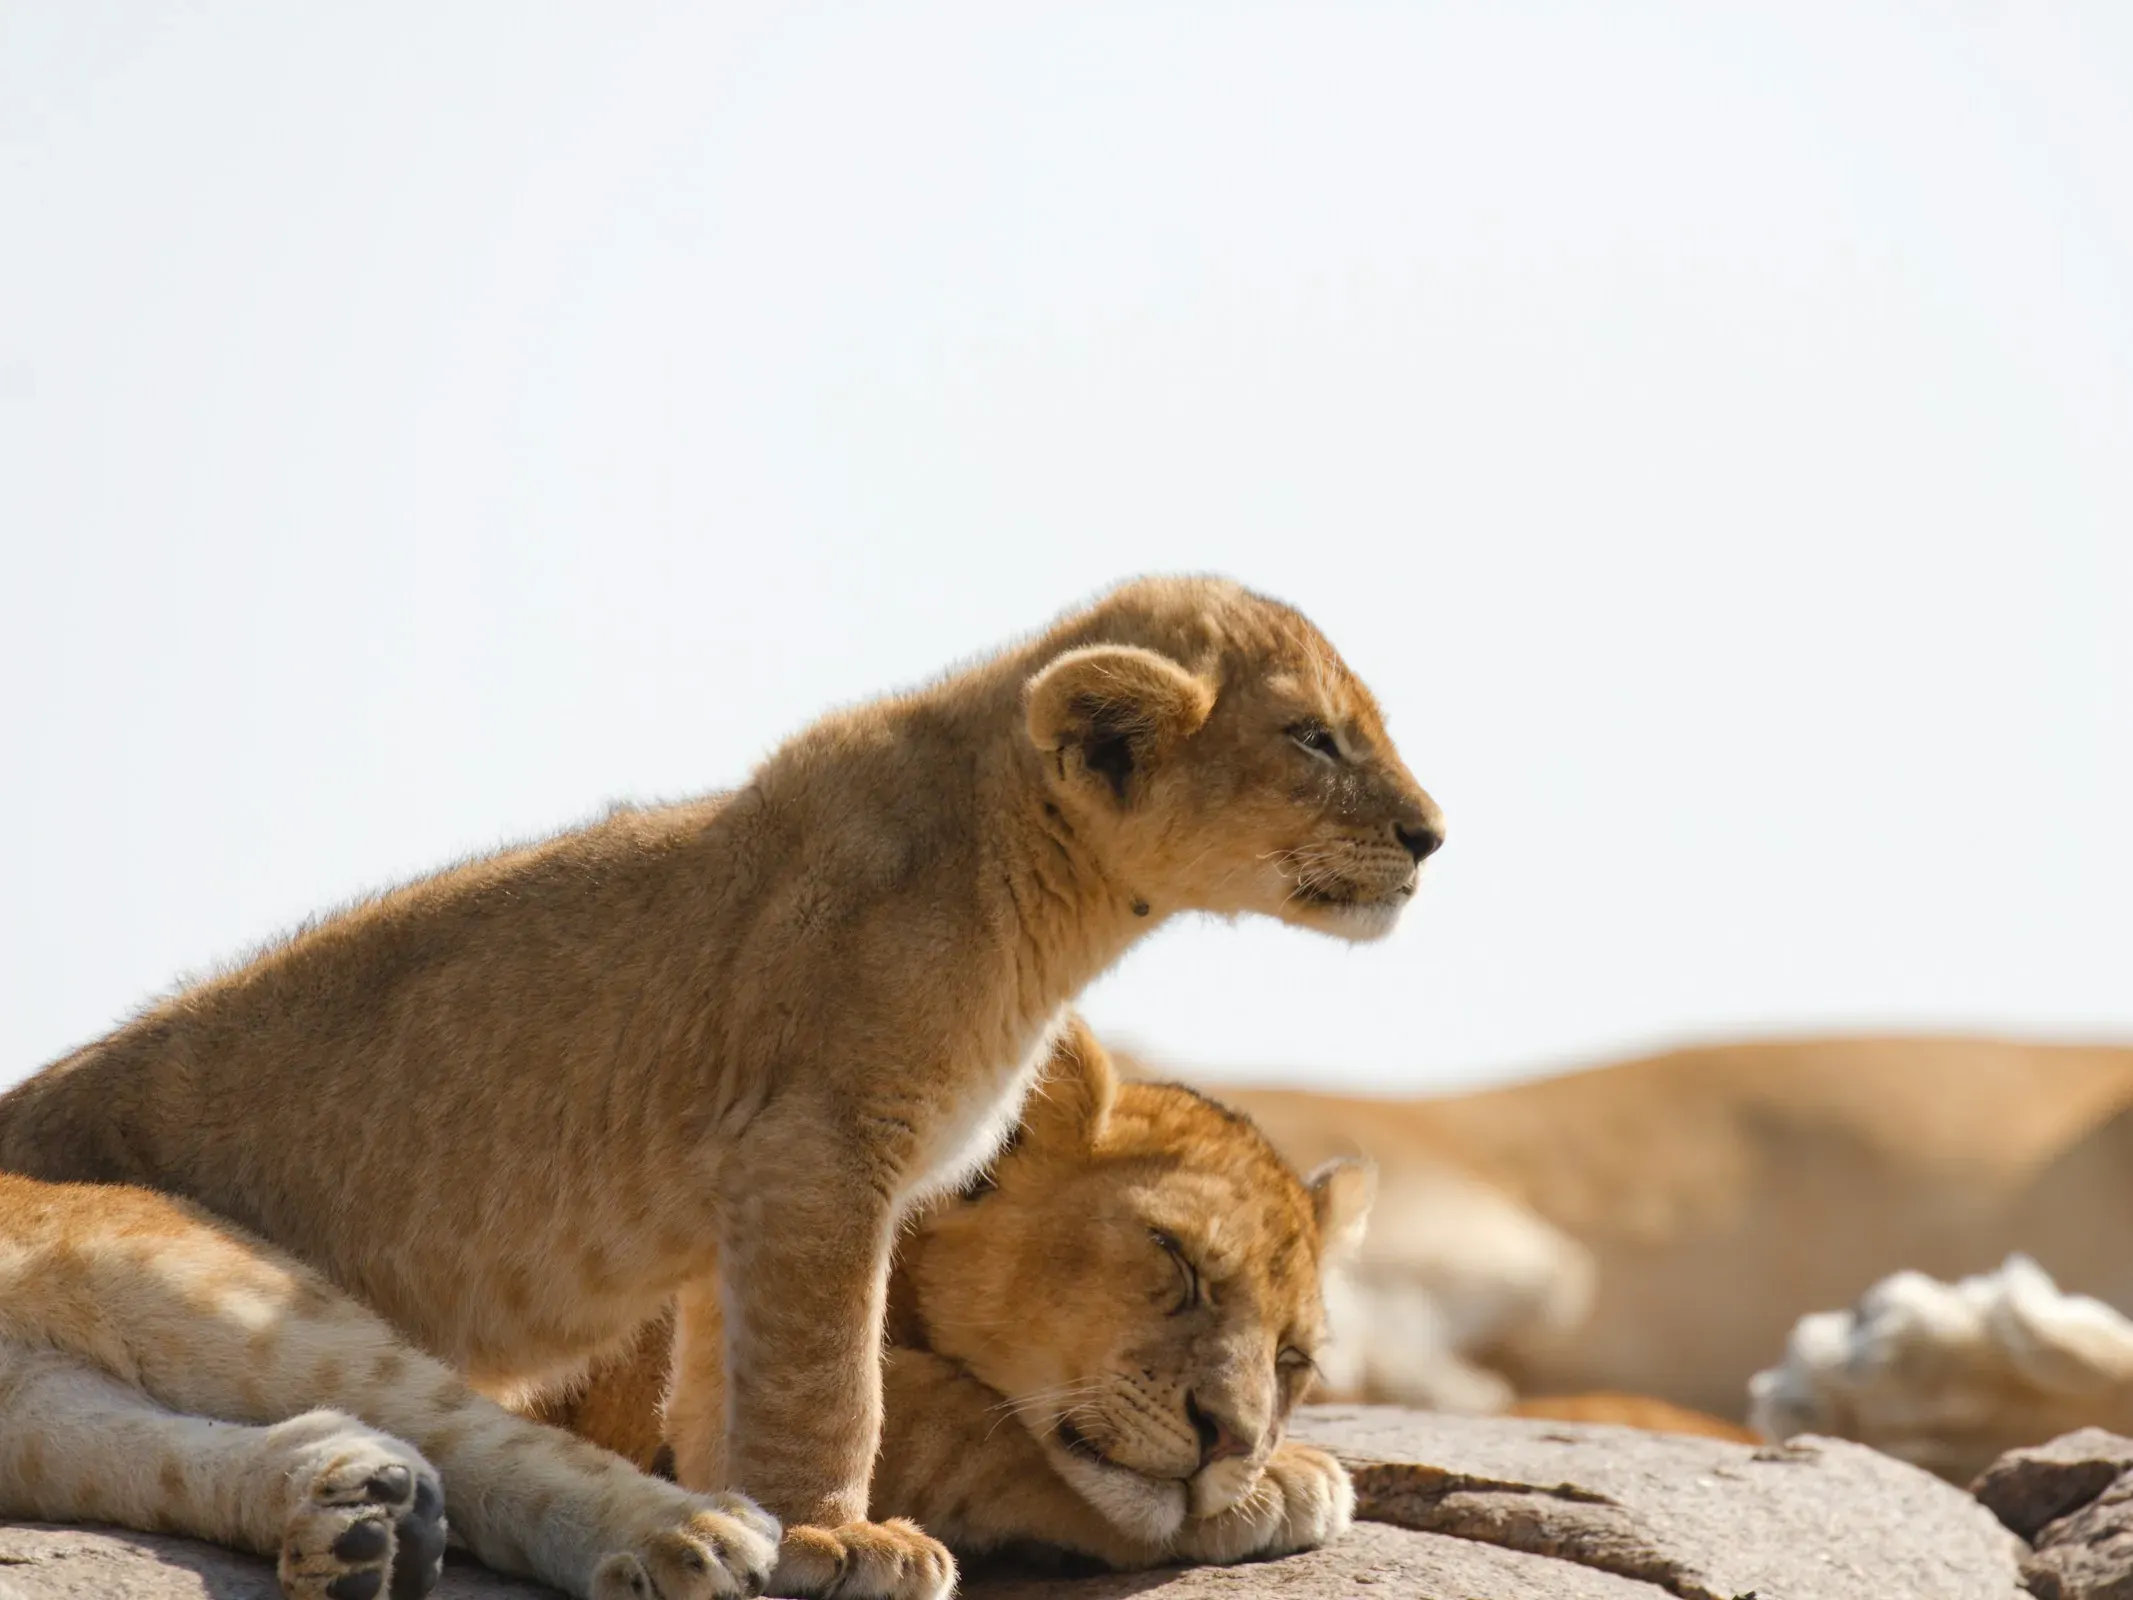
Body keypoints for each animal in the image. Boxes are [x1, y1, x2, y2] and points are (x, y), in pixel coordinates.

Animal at [534, 1019, 1373, 1573]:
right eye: (1175, 1255)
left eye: (1292, 1359)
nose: (1231, 1442)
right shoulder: (661, 1400)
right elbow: (961, 1422)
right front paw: (1290, 1478)